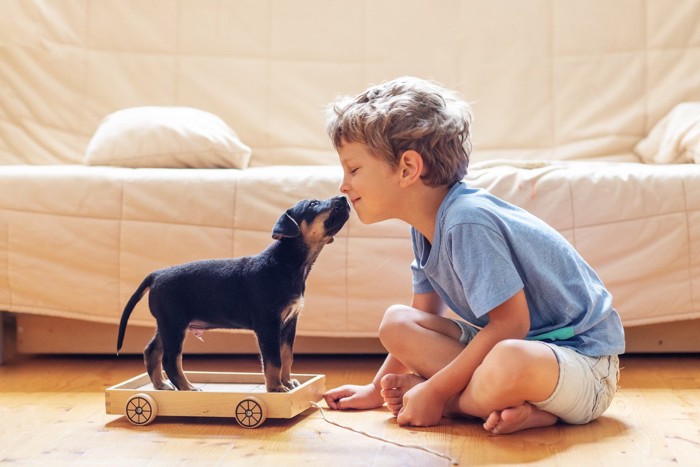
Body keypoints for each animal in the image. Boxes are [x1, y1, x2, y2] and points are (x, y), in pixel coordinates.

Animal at [118, 196, 356, 394]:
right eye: (313, 204)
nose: (344, 198)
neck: (287, 264)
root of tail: (156, 275)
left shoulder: (289, 323)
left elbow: (287, 357)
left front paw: (288, 382)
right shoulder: (267, 325)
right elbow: (273, 361)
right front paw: (276, 388)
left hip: (167, 323)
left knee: (152, 351)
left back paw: (161, 384)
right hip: (174, 324)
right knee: (170, 359)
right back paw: (187, 387)